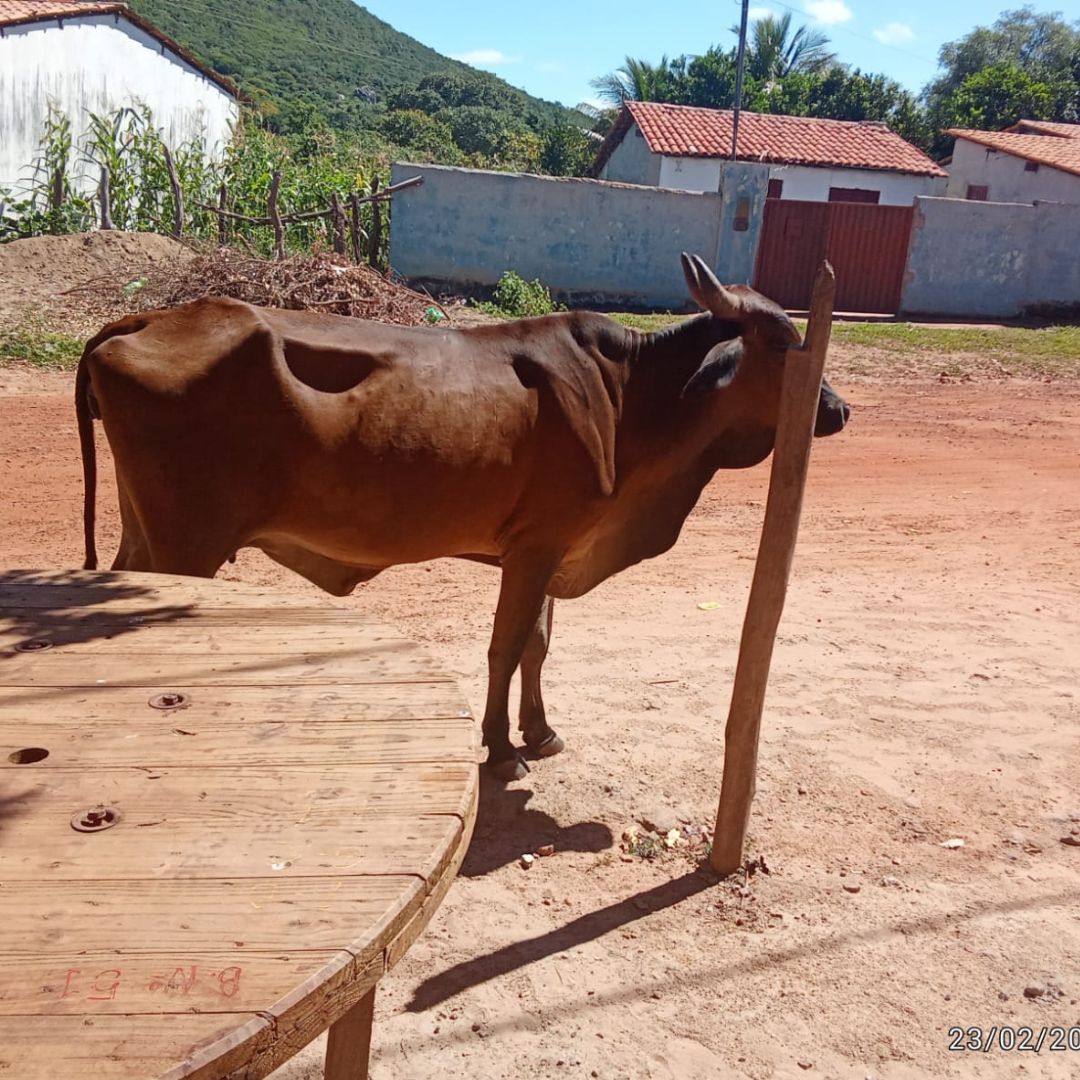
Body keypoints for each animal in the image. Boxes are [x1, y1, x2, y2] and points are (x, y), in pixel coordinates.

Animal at [78, 254, 851, 777]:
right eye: (780, 343)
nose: (839, 410)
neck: (631, 395)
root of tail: (145, 317)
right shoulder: (535, 548)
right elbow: (505, 648)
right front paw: (502, 748)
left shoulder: (550, 547)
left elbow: (538, 645)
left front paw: (540, 731)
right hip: (188, 544)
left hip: (146, 535)